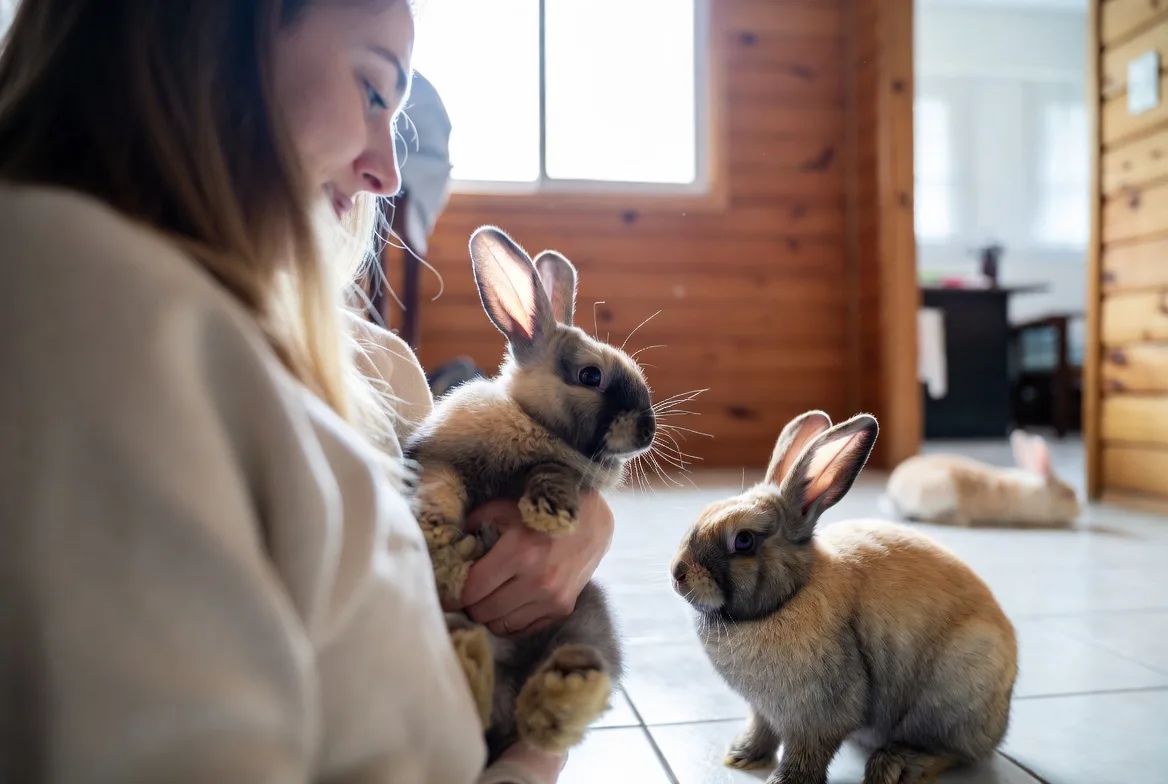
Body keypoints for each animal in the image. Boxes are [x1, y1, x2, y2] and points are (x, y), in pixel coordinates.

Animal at [402, 225, 657, 764]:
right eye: (590, 376)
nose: (648, 431)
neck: (534, 423)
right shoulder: (439, 457)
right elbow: (441, 485)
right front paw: (437, 536)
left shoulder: (561, 468)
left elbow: (550, 472)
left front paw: (550, 514)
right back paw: (471, 656)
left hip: (589, 613)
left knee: (545, 709)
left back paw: (563, 693)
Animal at [670, 410, 1018, 784]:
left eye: (744, 540)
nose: (677, 573)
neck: (790, 594)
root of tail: (1001, 719)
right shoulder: (763, 709)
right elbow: (762, 728)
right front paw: (741, 756)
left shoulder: (819, 711)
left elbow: (808, 749)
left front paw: (784, 780)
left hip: (947, 699)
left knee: (949, 751)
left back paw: (893, 766)